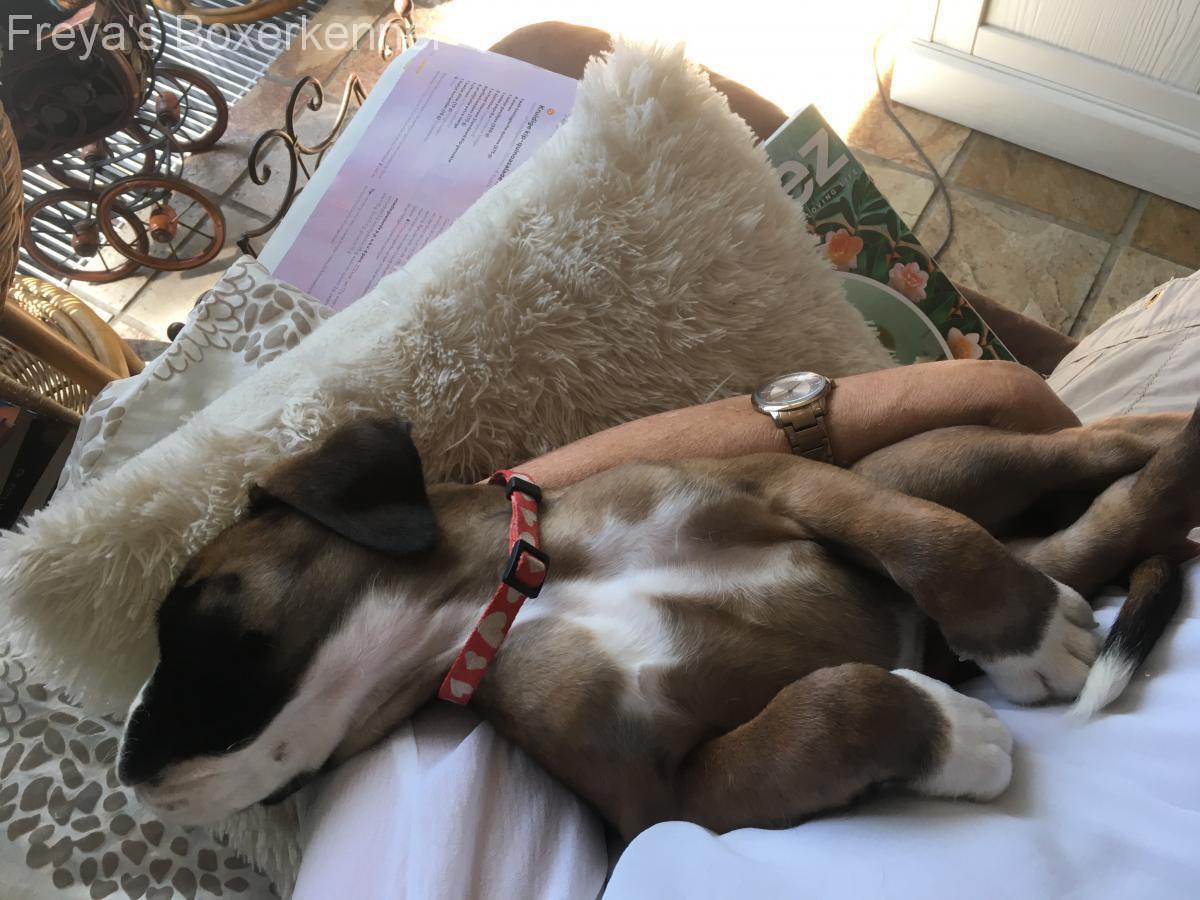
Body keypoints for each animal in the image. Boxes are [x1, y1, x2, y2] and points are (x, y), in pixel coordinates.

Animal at [116, 407, 1196, 837]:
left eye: (190, 615)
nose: (125, 769)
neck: (513, 598)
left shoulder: (790, 485)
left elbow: (927, 545)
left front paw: (1027, 635)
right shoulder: (671, 794)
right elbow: (833, 710)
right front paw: (956, 739)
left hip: (953, 466)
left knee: (1093, 461)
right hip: (1024, 522)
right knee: (1110, 522)